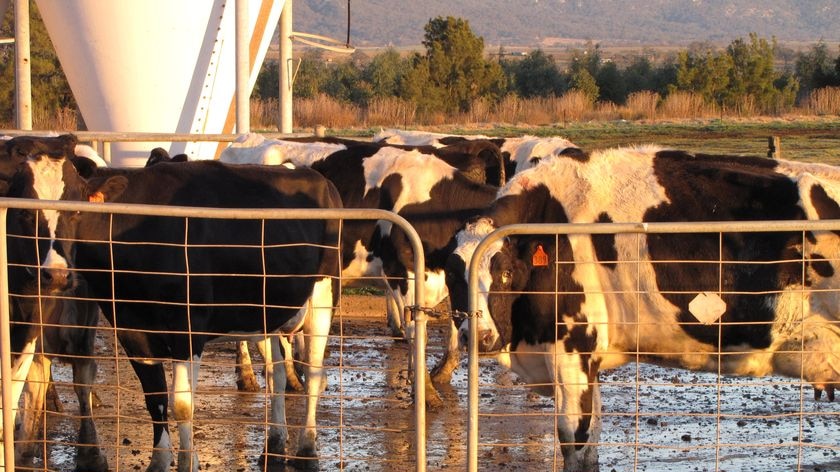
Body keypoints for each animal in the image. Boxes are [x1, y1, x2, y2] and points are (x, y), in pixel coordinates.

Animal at [450, 145, 840, 472]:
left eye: (504, 273)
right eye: (454, 277)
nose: (479, 337)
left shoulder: (571, 347)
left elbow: (574, 442)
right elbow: (591, 444)